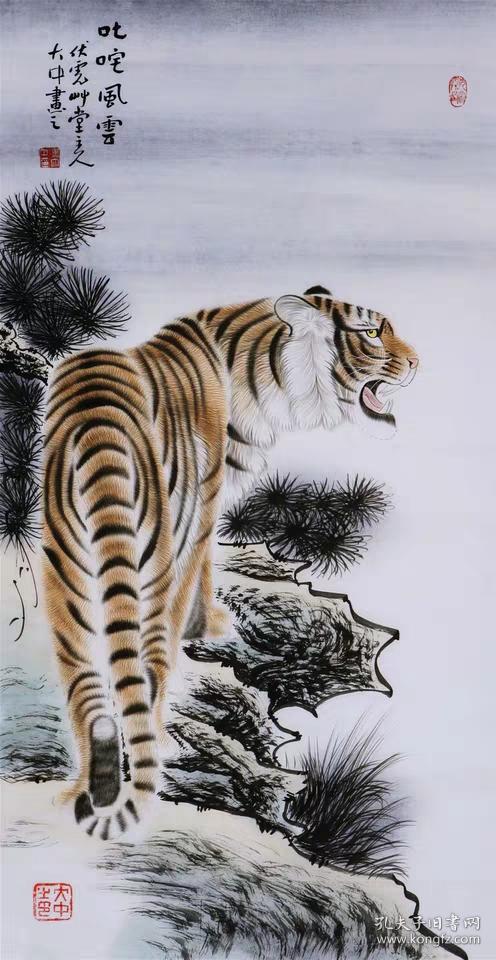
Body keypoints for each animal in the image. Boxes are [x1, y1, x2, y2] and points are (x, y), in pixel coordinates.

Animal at [41, 284, 418, 840]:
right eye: (372, 332)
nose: (417, 363)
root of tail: (95, 417)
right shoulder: (203, 505)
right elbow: (200, 573)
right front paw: (211, 624)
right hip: (148, 567)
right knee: (149, 663)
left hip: (66, 580)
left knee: (88, 691)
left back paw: (84, 792)